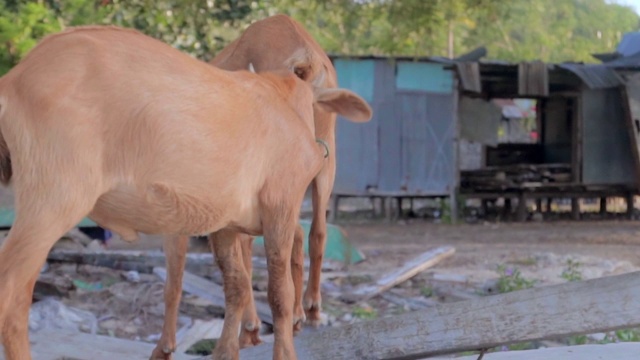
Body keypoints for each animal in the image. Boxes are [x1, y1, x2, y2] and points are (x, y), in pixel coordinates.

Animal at [0, 26, 370, 360]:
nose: (319, 152)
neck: (285, 101)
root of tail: (14, 79)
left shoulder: (226, 222)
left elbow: (236, 285)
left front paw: (226, 352)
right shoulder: (279, 204)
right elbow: (279, 293)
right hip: (55, 195)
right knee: (12, 296)